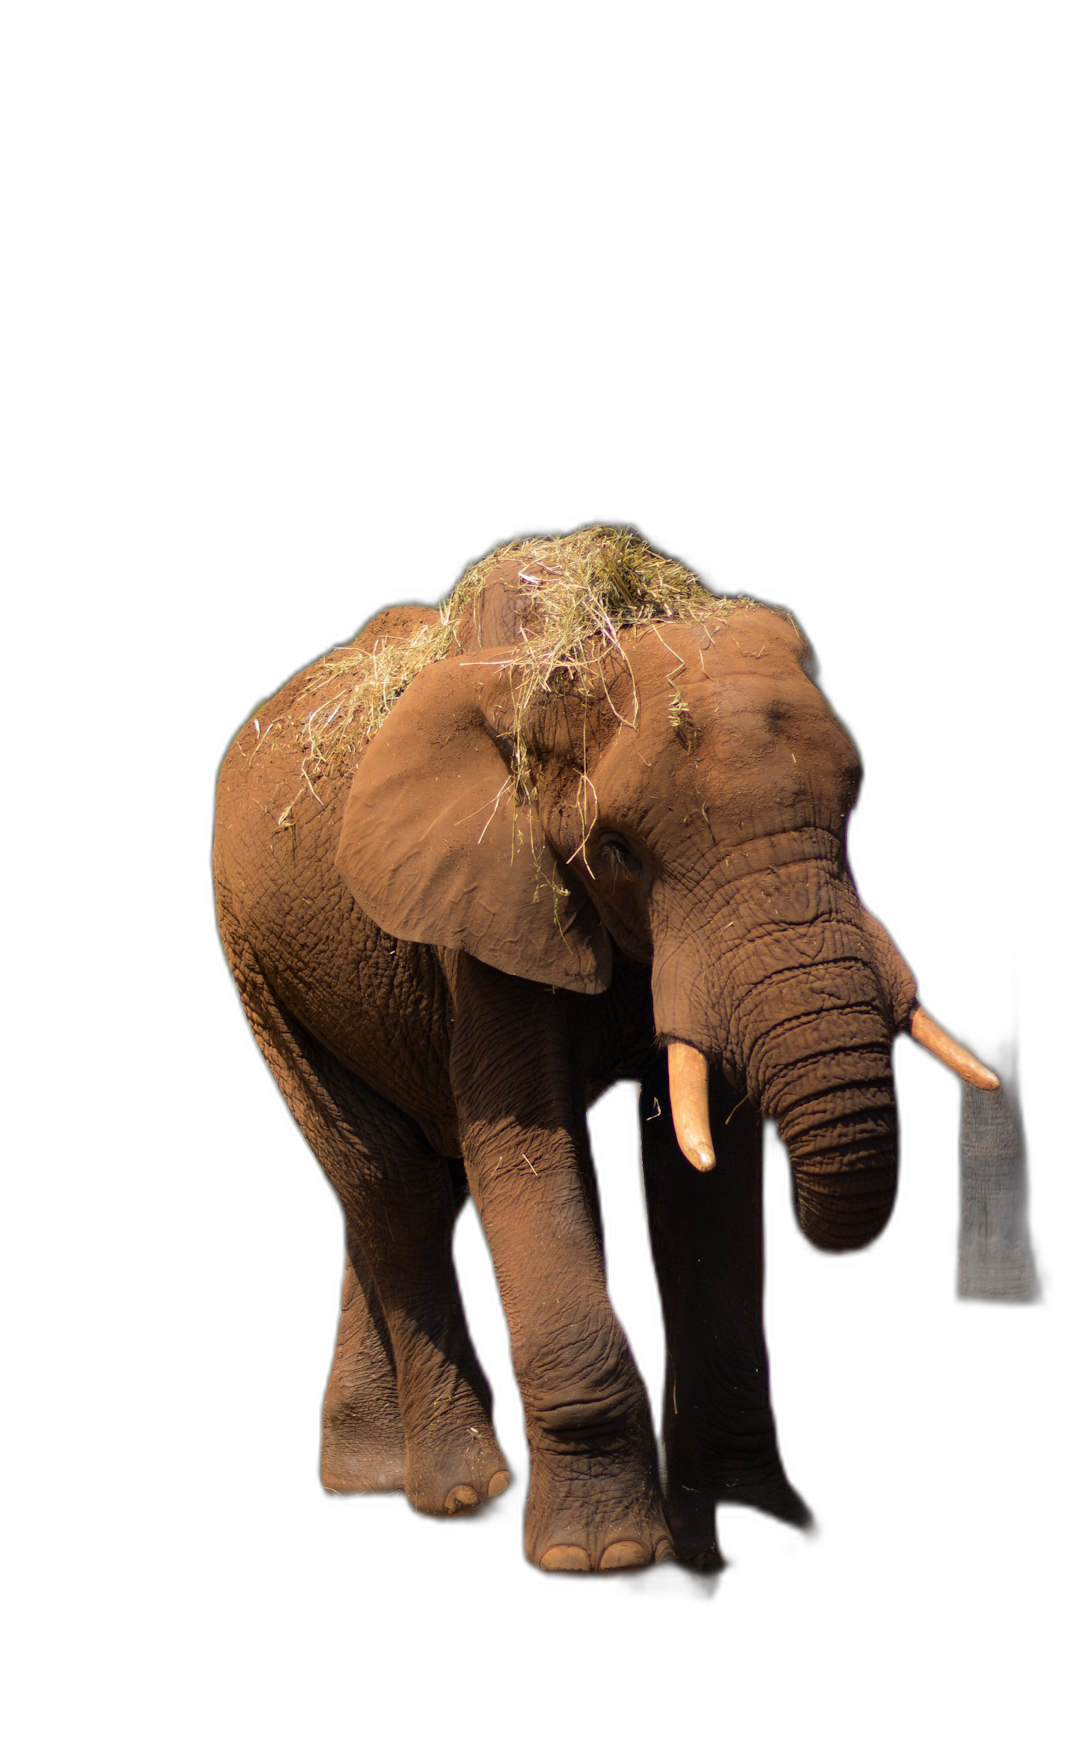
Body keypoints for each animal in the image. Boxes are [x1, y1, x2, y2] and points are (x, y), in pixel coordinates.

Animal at [212, 520, 999, 1586]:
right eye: (618, 848)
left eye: (851, 811)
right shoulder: (486, 895)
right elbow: (529, 1149)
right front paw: (612, 1557)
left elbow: (705, 1178)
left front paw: (740, 1523)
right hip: (254, 960)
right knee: (391, 1186)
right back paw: (458, 1493)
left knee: (401, 1184)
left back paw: (371, 1476)